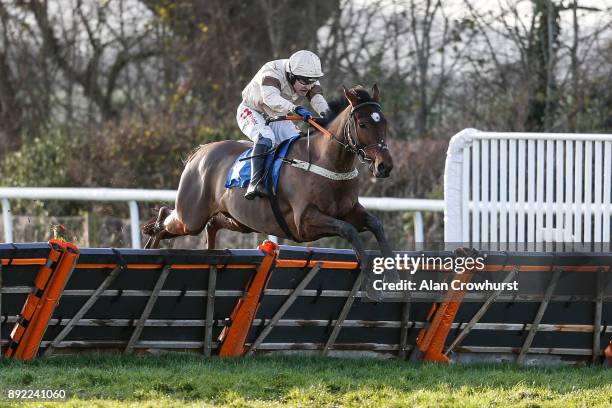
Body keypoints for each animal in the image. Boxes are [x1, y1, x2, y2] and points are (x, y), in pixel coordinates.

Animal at [143, 84, 400, 298]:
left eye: (385, 122)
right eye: (363, 124)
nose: (384, 166)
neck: (325, 162)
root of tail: (201, 151)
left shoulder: (349, 210)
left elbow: (375, 224)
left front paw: (393, 276)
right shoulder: (304, 222)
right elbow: (348, 230)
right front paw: (368, 280)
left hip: (239, 220)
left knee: (212, 223)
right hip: (191, 216)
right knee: (166, 217)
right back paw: (150, 246)